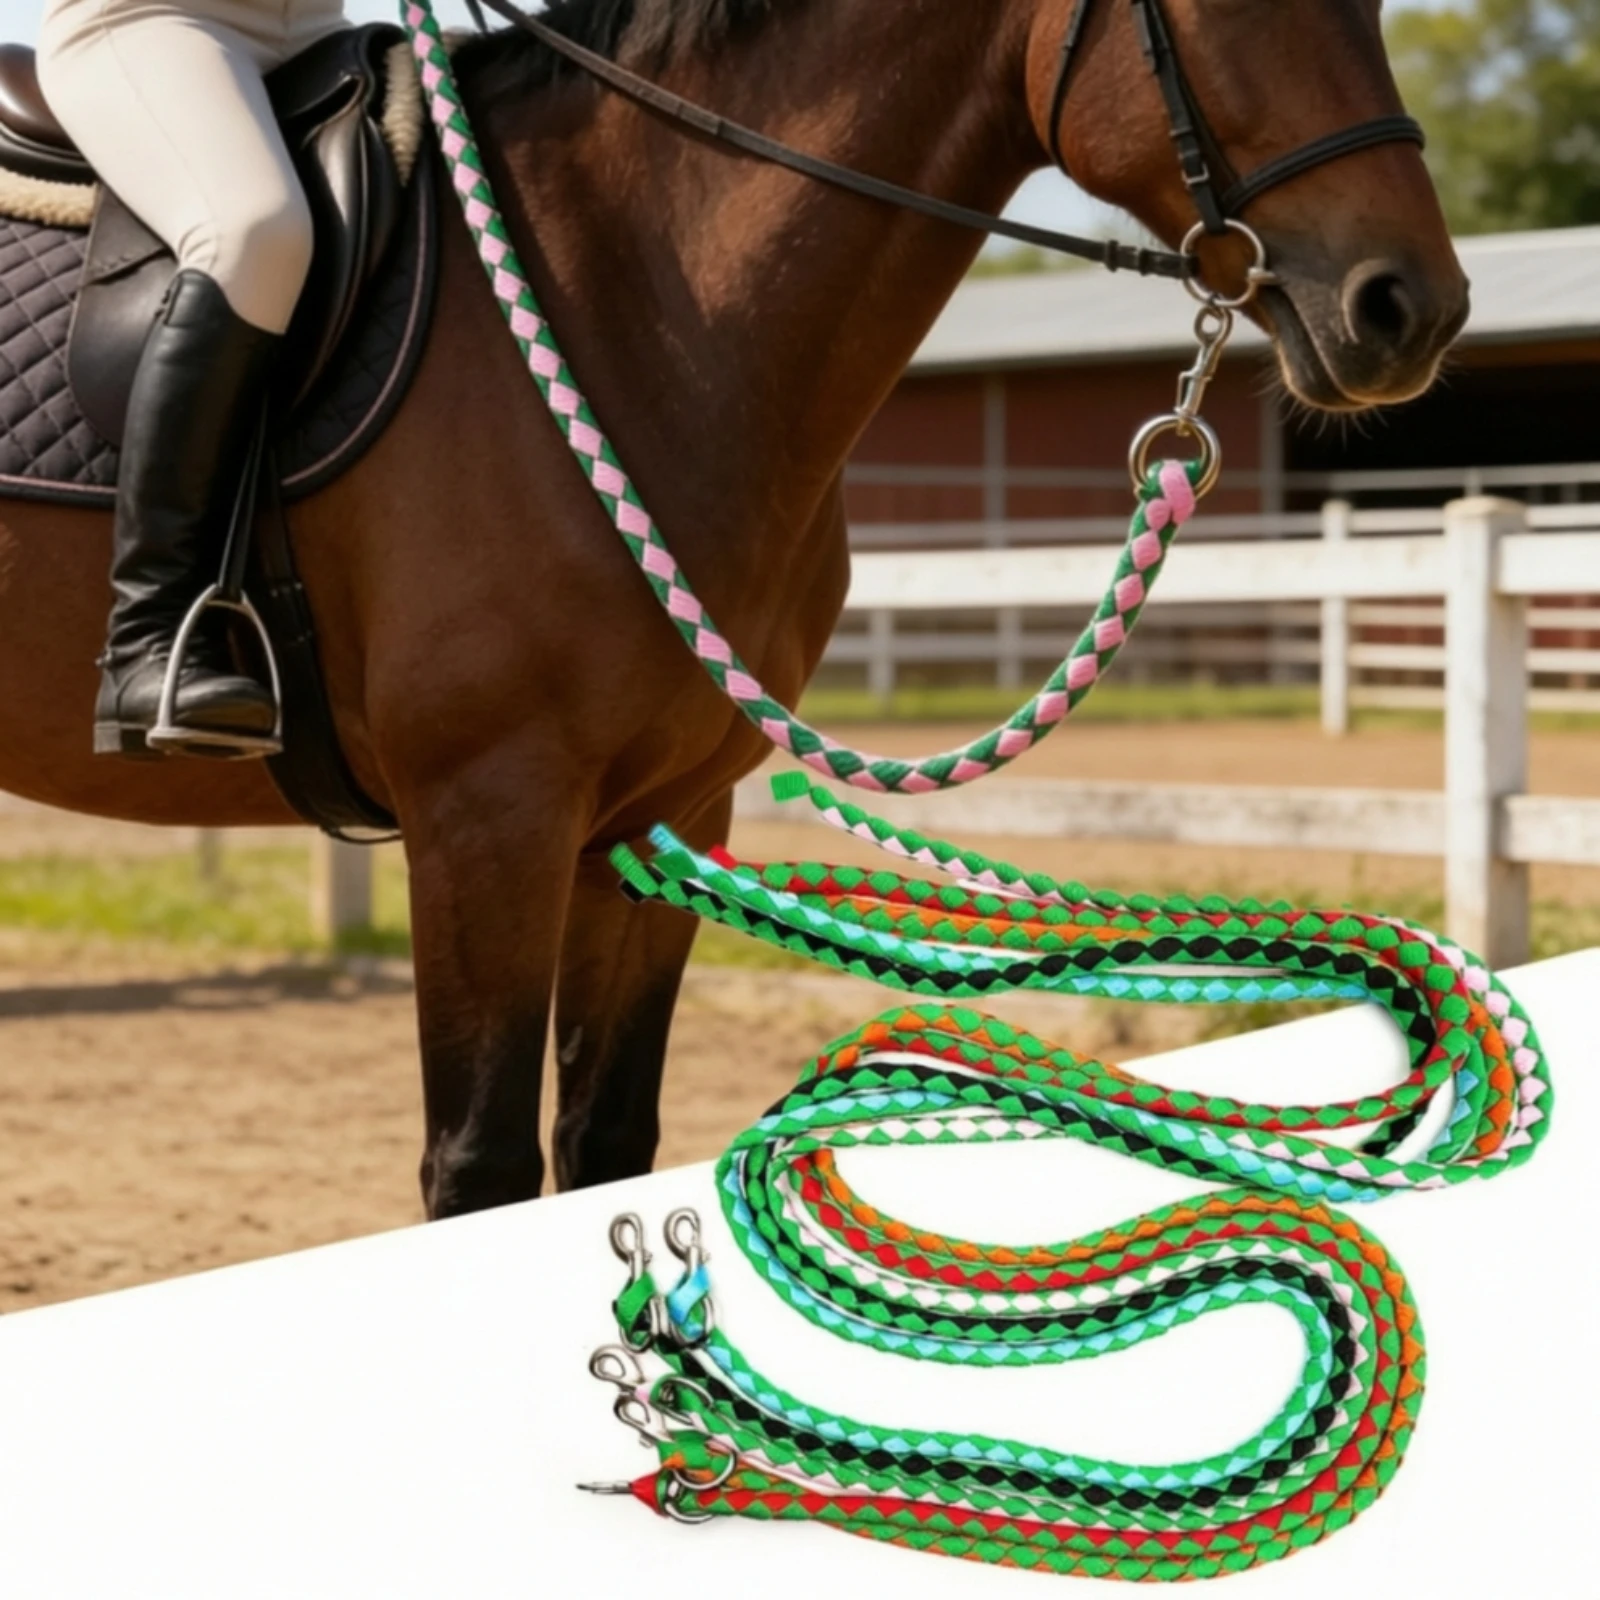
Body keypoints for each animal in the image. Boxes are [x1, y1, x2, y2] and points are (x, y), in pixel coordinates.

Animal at [0, 0, 1467, 1219]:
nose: (1411, 307)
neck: (636, 304)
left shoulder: (668, 813)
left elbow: (604, 1138)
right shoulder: (488, 817)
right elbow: (477, 1165)